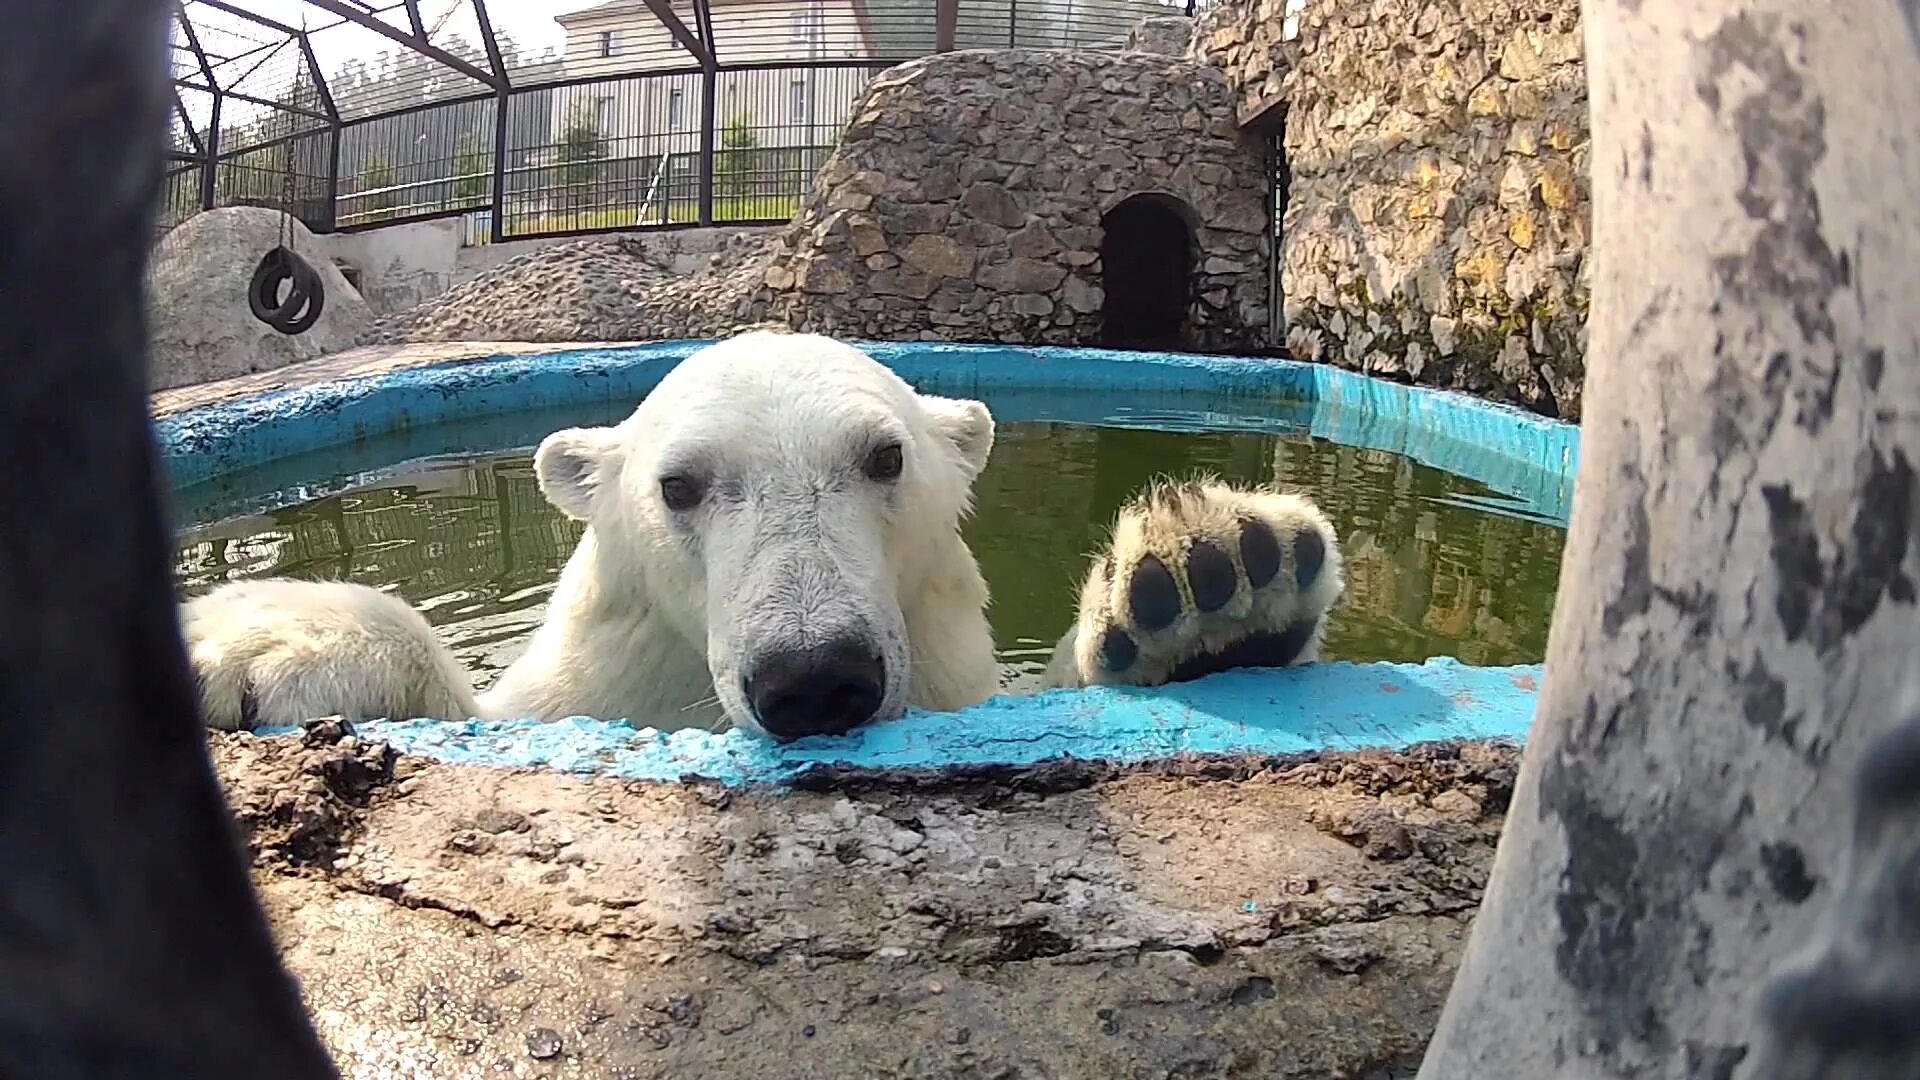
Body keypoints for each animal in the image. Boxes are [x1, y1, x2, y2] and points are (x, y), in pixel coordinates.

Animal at [187, 332, 1344, 737]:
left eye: (885, 458)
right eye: (680, 485)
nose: (815, 676)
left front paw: (1211, 582)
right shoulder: (591, 688)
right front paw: (258, 645)